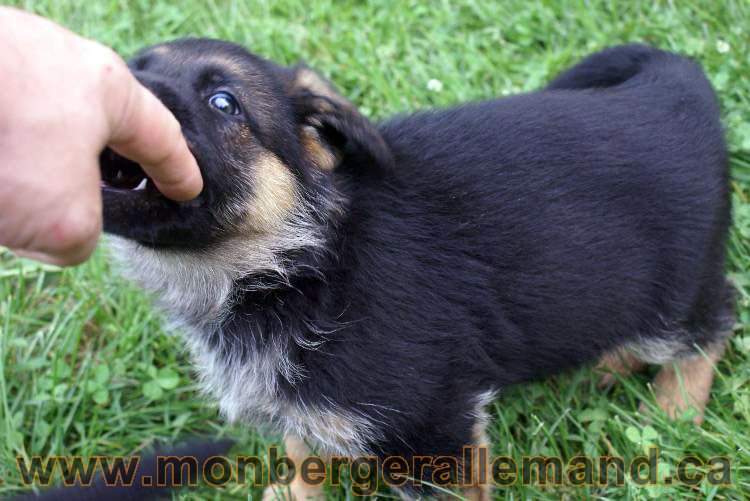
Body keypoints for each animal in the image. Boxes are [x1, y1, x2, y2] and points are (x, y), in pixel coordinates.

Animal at [100, 41, 736, 498]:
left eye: (224, 102)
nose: (108, 91)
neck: (296, 264)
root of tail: (673, 83)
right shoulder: (307, 405)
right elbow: (303, 454)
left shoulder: (435, 429)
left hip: (674, 291)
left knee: (716, 320)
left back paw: (674, 409)